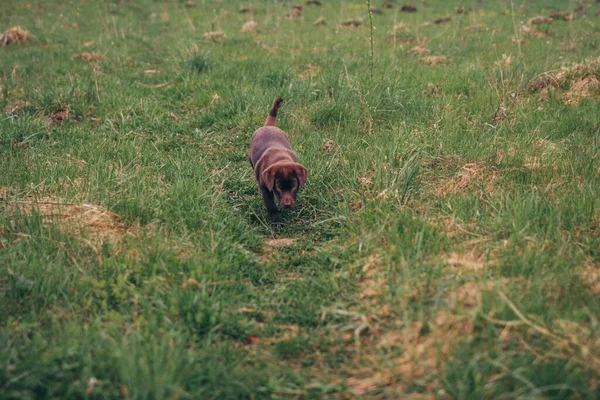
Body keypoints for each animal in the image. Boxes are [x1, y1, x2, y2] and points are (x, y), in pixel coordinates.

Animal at [247, 95, 308, 223]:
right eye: (278, 188)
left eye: (293, 186)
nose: (288, 205)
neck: (280, 159)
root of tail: (268, 126)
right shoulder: (265, 188)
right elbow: (271, 206)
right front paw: (276, 222)